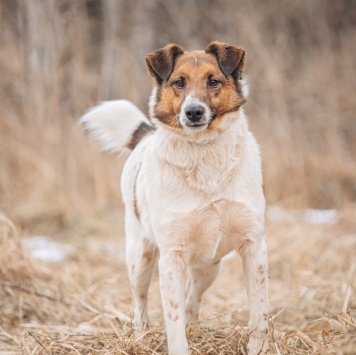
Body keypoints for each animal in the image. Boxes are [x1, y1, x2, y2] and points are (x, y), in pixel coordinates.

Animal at [80, 42, 268, 355]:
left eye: (213, 81)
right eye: (179, 83)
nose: (193, 112)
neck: (204, 153)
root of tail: (145, 136)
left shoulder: (254, 247)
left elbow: (259, 315)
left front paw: (259, 347)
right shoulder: (171, 258)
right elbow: (174, 322)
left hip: (209, 267)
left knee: (192, 298)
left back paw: (195, 327)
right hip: (140, 258)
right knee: (139, 304)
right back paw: (140, 337)